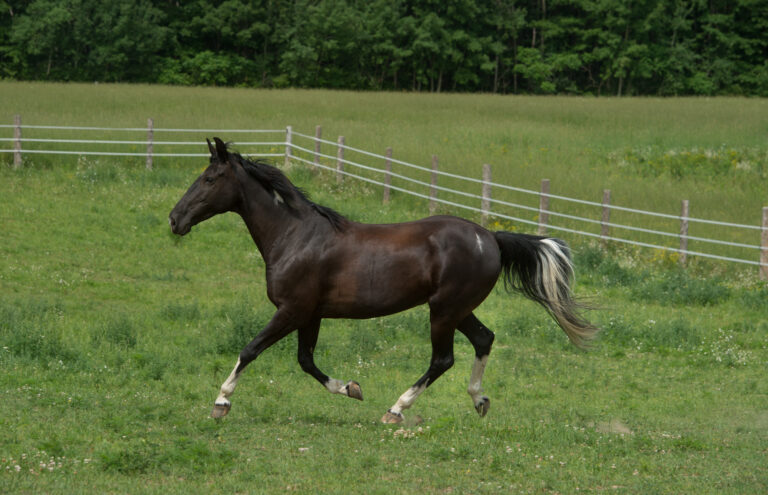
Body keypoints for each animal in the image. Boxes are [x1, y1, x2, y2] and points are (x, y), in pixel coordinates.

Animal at [170, 138, 600, 424]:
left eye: (210, 179)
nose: (175, 219)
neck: (295, 236)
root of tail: (490, 238)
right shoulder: (310, 315)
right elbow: (306, 361)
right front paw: (351, 388)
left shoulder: (291, 310)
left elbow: (250, 349)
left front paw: (221, 403)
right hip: (458, 309)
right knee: (483, 339)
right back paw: (478, 401)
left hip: (443, 310)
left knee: (443, 359)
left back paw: (396, 409)